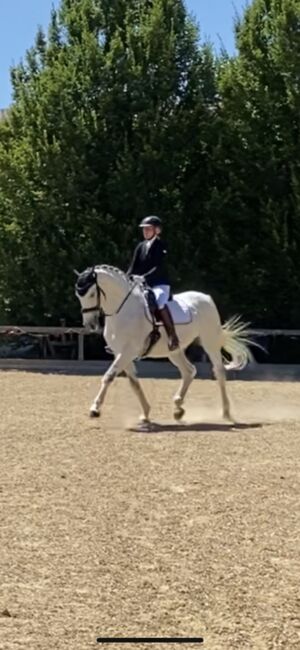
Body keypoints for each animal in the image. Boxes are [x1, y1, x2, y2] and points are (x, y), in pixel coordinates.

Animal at [75, 264, 253, 426]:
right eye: (78, 296)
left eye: (92, 294)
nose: (90, 325)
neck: (123, 311)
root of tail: (206, 297)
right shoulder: (120, 352)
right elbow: (134, 383)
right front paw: (146, 413)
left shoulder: (128, 351)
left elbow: (109, 376)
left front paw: (95, 409)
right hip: (174, 351)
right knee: (189, 371)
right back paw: (178, 408)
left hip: (210, 342)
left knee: (219, 372)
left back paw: (226, 413)